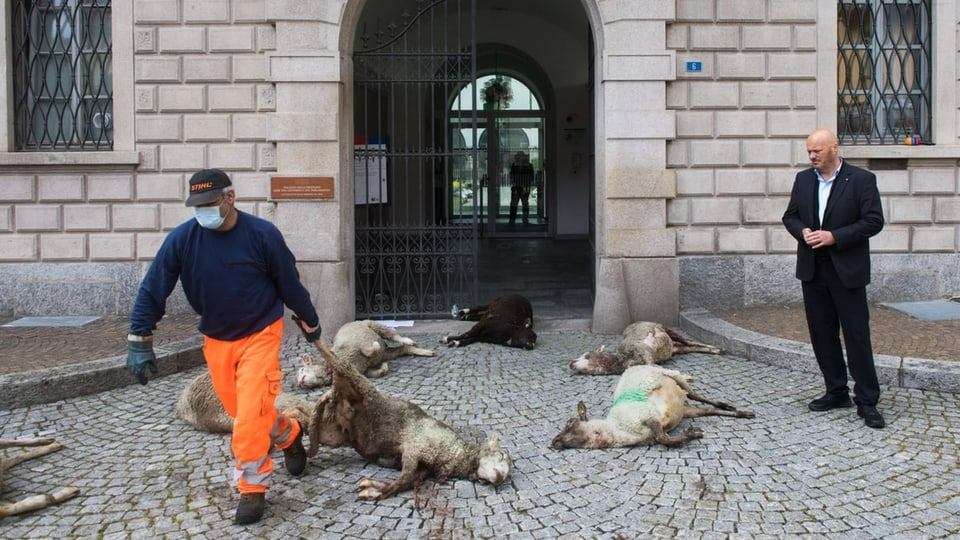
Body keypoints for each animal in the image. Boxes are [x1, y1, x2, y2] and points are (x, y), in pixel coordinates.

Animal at [296, 320, 438, 388]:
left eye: (302, 369)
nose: (299, 383)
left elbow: (372, 349)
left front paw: (372, 347)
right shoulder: (364, 372)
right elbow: (380, 371)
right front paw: (384, 366)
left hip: (373, 325)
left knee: (393, 335)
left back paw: (408, 340)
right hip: (387, 353)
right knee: (402, 349)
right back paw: (425, 351)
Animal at [306, 340, 510, 500]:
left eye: (508, 476)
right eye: (501, 455)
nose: (501, 477)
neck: (456, 455)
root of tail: (335, 393)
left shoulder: (422, 470)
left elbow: (405, 482)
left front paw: (374, 489)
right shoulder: (414, 448)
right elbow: (402, 480)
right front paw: (374, 492)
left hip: (333, 434)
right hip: (360, 383)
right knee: (333, 357)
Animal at [568, 320, 720, 376]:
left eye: (587, 355)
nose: (571, 362)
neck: (622, 360)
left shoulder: (643, 351)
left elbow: (655, 367)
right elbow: (656, 368)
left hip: (666, 329)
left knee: (689, 341)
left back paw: (717, 348)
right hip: (676, 349)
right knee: (689, 347)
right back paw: (714, 350)